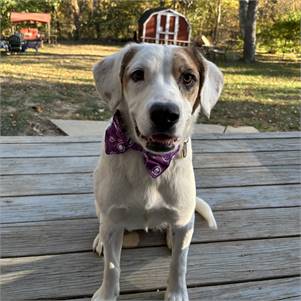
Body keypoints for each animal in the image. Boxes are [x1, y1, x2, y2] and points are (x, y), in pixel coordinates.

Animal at [91, 42, 223, 300]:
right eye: (137, 74)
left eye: (188, 77)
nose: (165, 113)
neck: (150, 162)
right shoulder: (113, 221)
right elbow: (112, 267)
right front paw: (106, 294)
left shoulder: (183, 220)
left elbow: (178, 264)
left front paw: (176, 293)